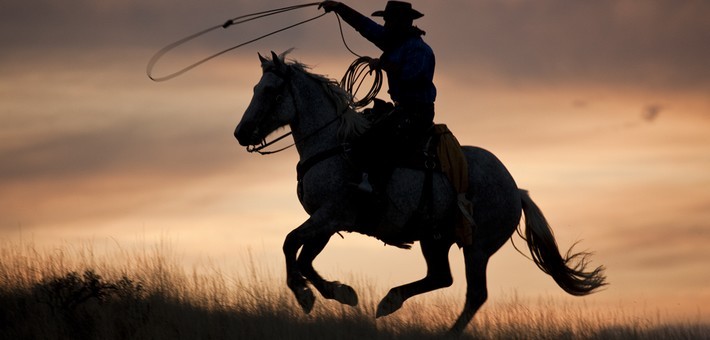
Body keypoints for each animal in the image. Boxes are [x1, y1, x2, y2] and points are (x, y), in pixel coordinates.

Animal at [234, 51, 608, 334]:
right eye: (255, 86)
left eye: (270, 91)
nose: (241, 133)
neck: (334, 144)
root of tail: (517, 190)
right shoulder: (326, 222)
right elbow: (304, 257)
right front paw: (339, 293)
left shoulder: (330, 216)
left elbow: (291, 247)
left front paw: (307, 295)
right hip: (435, 239)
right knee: (441, 277)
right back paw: (389, 301)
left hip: (477, 248)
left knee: (475, 294)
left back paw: (443, 330)